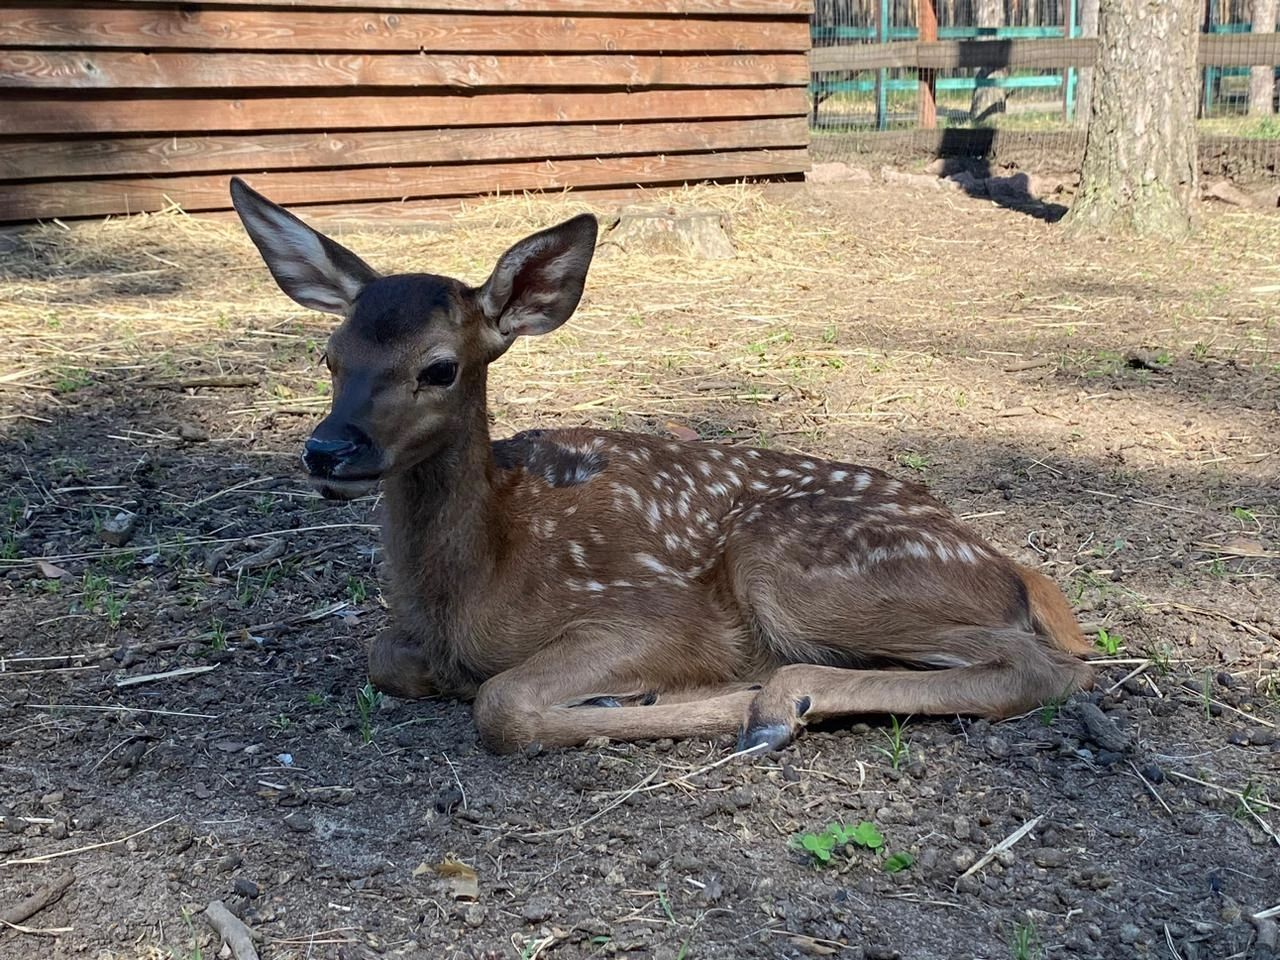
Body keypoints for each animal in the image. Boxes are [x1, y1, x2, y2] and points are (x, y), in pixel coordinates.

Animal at [227, 176, 1090, 757]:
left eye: (438, 368)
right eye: (330, 356)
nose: (328, 449)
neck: (470, 586)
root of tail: (1012, 570)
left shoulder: (651, 611)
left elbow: (501, 702)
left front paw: (680, 698)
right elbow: (381, 655)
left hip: (793, 565)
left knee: (1042, 667)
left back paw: (776, 703)